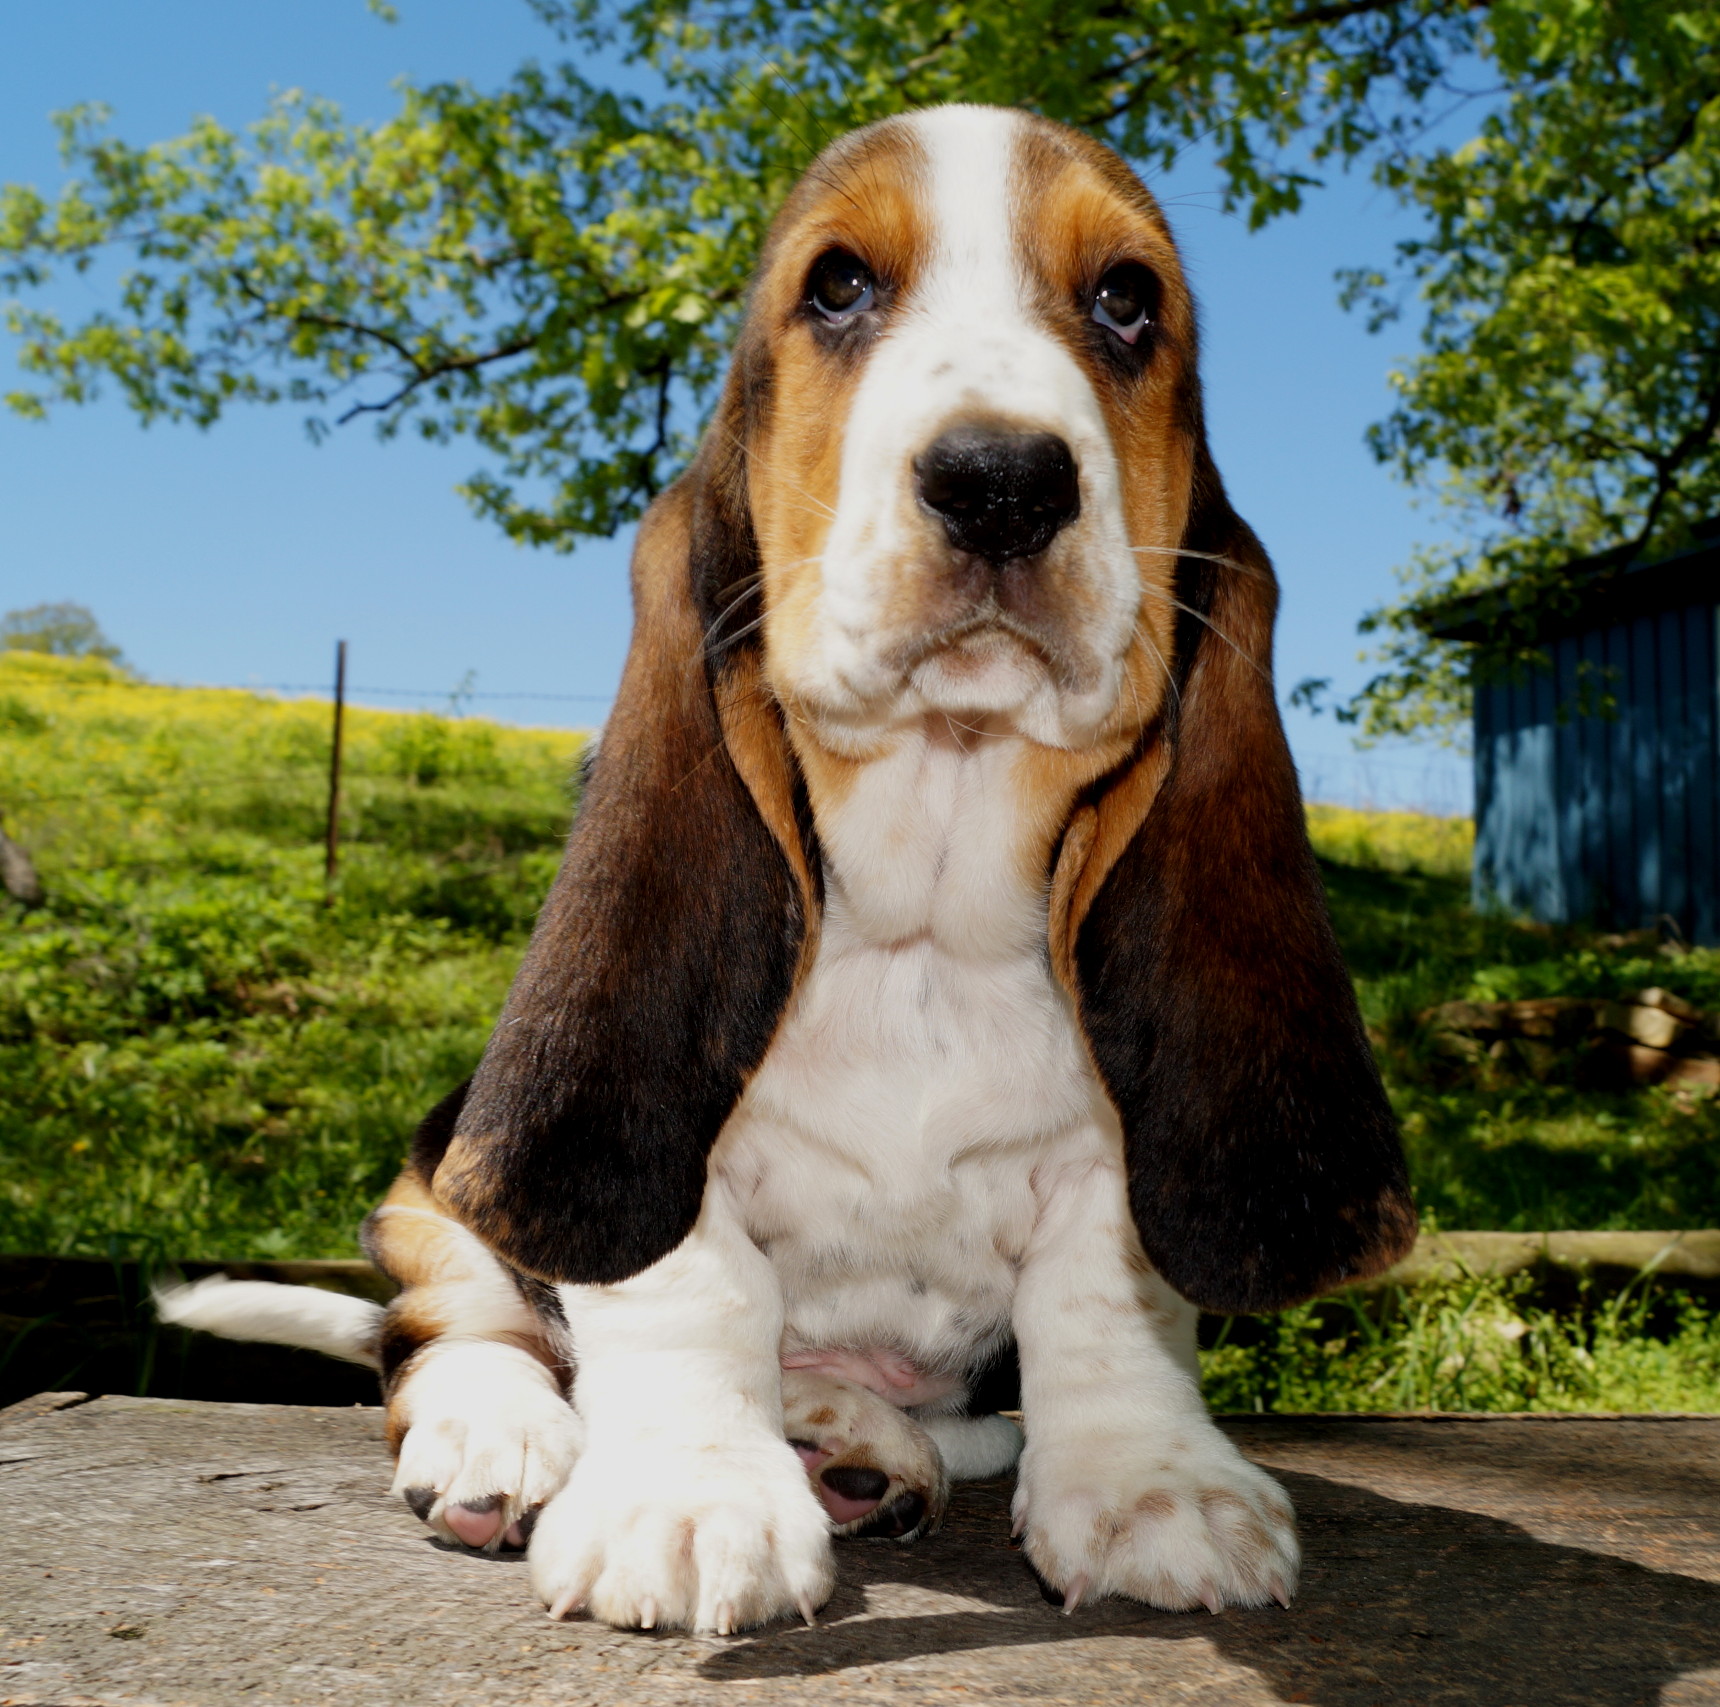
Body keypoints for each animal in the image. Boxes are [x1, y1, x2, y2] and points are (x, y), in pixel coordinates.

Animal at [167, 99, 1417, 1631]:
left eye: (1127, 300)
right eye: (838, 286)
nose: (1001, 480)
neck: (927, 922)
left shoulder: (1105, 1166)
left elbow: (1105, 1294)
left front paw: (1148, 1483)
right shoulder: (667, 1142)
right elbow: (689, 1290)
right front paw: (688, 1496)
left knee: (958, 1414)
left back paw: (850, 1436)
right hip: (439, 1165)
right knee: (446, 1314)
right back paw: (502, 1433)